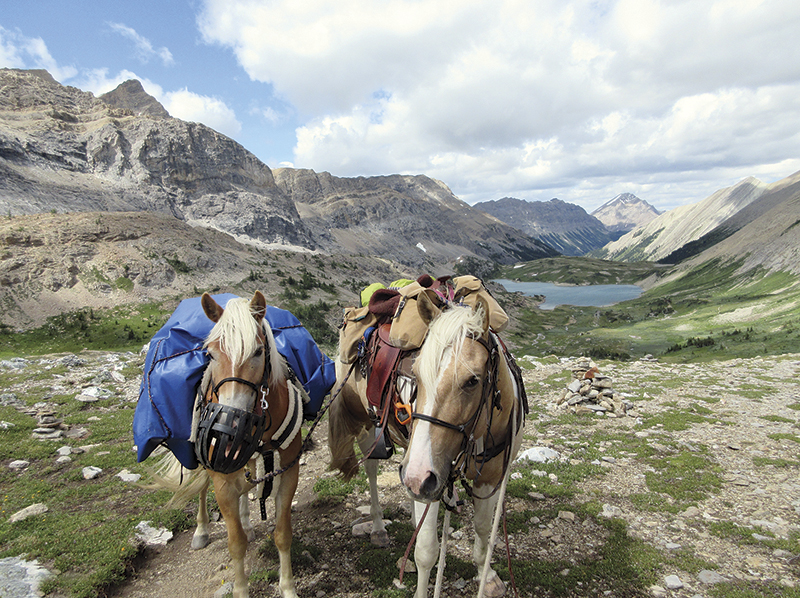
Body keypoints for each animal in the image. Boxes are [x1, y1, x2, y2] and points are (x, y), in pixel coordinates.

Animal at [151, 291, 302, 598]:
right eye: (209, 353)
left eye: (258, 351)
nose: (229, 428)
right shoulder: (221, 478)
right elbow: (236, 544)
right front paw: (241, 589)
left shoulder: (289, 470)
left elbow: (282, 533)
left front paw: (288, 588)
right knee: (200, 487)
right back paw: (201, 531)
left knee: (245, 486)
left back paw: (247, 521)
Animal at [329, 290, 526, 598]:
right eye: (416, 376)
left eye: (472, 381)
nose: (417, 476)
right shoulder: (429, 478)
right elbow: (425, 551)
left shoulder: (488, 477)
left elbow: (483, 530)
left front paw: (488, 576)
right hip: (369, 427)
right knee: (373, 470)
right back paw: (378, 527)